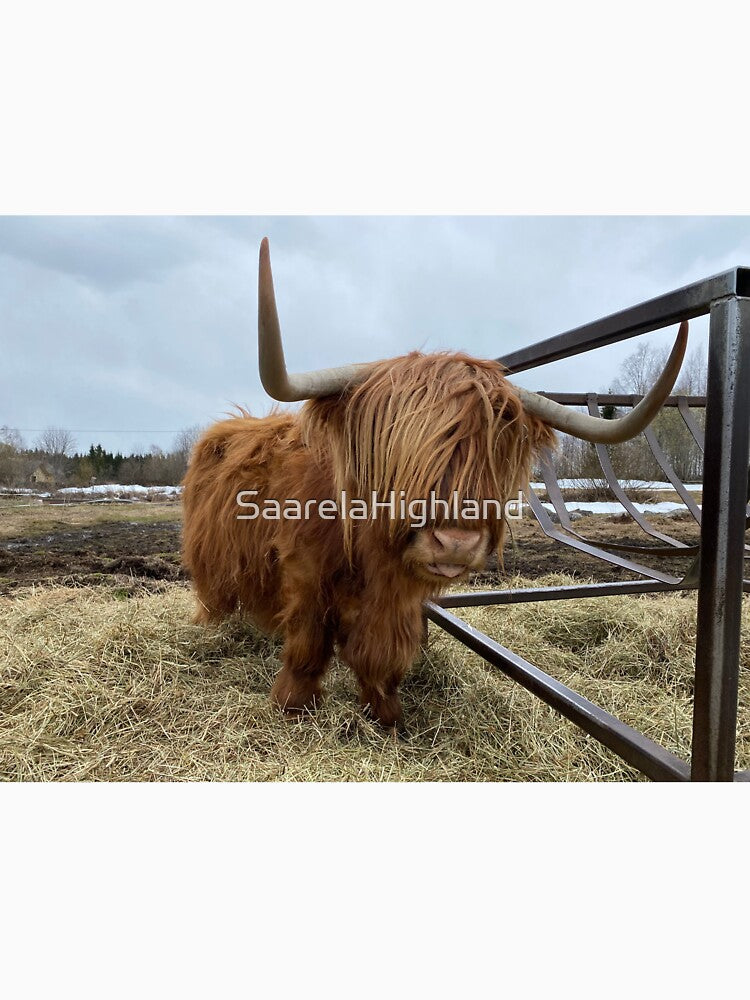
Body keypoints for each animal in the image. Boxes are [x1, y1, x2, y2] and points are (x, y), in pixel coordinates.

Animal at [182, 239, 688, 727]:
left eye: (496, 446)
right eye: (396, 446)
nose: (456, 544)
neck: (367, 556)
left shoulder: (397, 599)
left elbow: (381, 655)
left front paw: (387, 715)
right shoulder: (305, 575)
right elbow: (307, 646)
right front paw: (292, 706)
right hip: (210, 562)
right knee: (214, 595)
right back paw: (213, 630)